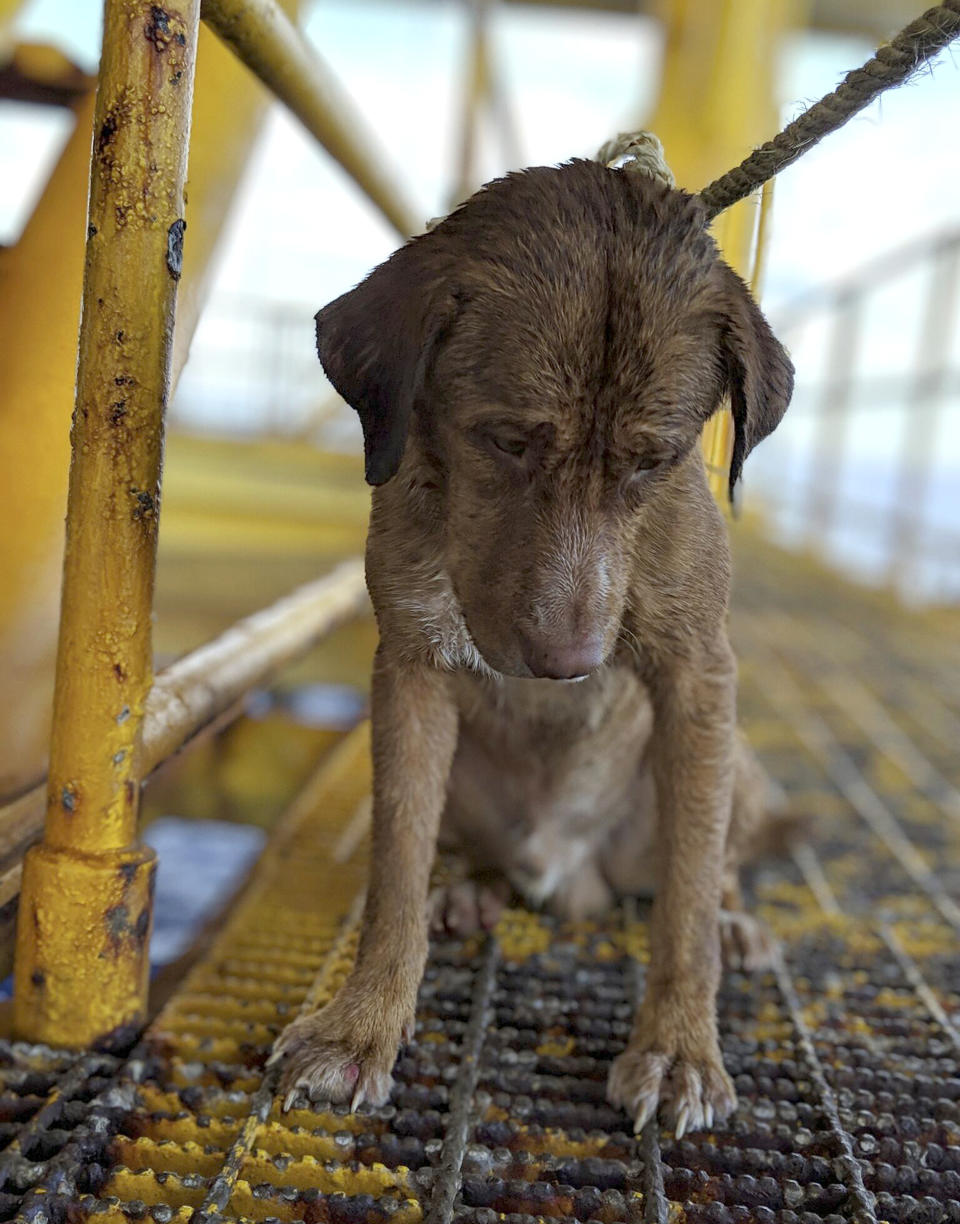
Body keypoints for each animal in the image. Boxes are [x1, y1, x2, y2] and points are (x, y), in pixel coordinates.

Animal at [271, 155, 793, 1135]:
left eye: (654, 460)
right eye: (507, 439)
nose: (567, 665)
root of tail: (569, 873)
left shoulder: (699, 677)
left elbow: (687, 898)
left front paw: (679, 1047)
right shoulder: (411, 671)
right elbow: (394, 869)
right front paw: (363, 1024)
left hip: (735, 764)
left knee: (716, 864)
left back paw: (735, 917)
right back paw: (473, 884)